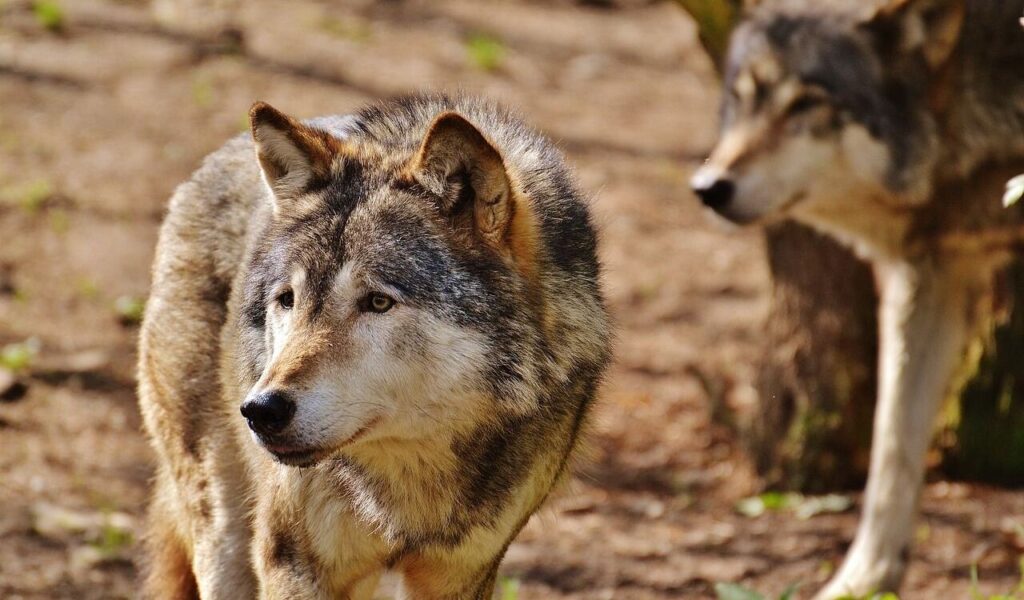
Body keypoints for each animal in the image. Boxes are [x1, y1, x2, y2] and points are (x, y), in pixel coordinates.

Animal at [136, 94, 611, 599]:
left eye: (378, 301)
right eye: (287, 299)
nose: (261, 410)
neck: (408, 485)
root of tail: (213, 159)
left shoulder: (464, 575)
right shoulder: (291, 564)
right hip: (222, 531)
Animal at [691, 0, 1024, 597]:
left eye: (806, 103)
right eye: (742, 98)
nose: (708, 187)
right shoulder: (927, 276)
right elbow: (892, 445)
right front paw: (864, 579)